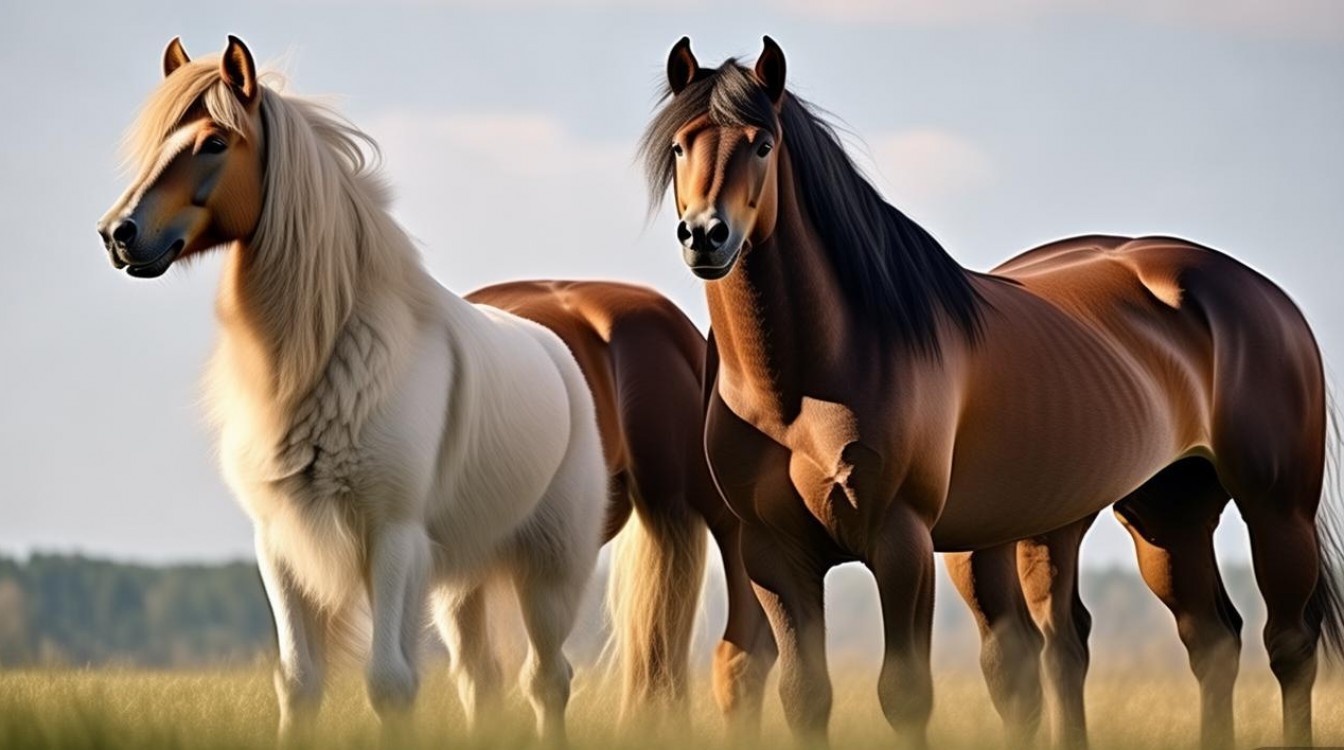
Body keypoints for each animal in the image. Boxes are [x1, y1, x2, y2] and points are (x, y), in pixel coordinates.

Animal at [97, 37, 608, 746]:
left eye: (213, 143)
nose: (116, 234)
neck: (330, 353)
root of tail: (558, 353)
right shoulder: (280, 545)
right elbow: (298, 681)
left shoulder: (391, 538)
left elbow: (389, 683)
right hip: (460, 584)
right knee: (482, 680)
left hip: (549, 571)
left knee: (547, 680)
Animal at [643, 36, 1344, 750]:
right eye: (679, 145)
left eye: (762, 143)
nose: (707, 235)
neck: (800, 389)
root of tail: (1261, 294)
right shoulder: (774, 555)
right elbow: (804, 695)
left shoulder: (901, 545)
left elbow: (905, 694)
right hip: (1164, 514)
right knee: (1207, 641)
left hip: (1275, 508)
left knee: (1288, 646)